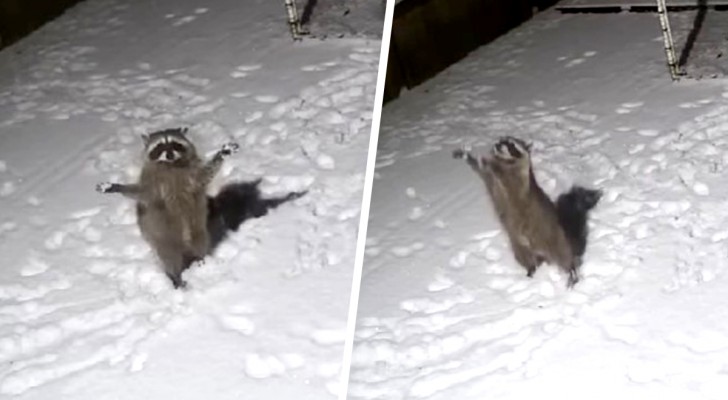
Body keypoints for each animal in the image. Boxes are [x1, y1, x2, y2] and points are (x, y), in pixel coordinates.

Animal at [96, 128, 239, 288]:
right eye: (160, 146)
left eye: (174, 144)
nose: (169, 155)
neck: (170, 165)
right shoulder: (152, 184)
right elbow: (140, 192)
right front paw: (116, 187)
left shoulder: (192, 174)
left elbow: (206, 174)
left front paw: (222, 154)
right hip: (165, 239)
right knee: (170, 258)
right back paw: (176, 277)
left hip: (198, 230)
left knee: (200, 242)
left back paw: (200, 260)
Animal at [452, 138, 600, 288]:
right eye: (501, 139)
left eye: (511, 145)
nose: (497, 145)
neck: (506, 160)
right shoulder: (490, 178)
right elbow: (480, 169)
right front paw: (467, 156)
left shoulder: (517, 179)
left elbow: (504, 174)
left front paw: (488, 161)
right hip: (519, 246)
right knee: (525, 258)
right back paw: (531, 270)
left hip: (552, 239)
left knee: (563, 256)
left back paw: (572, 271)